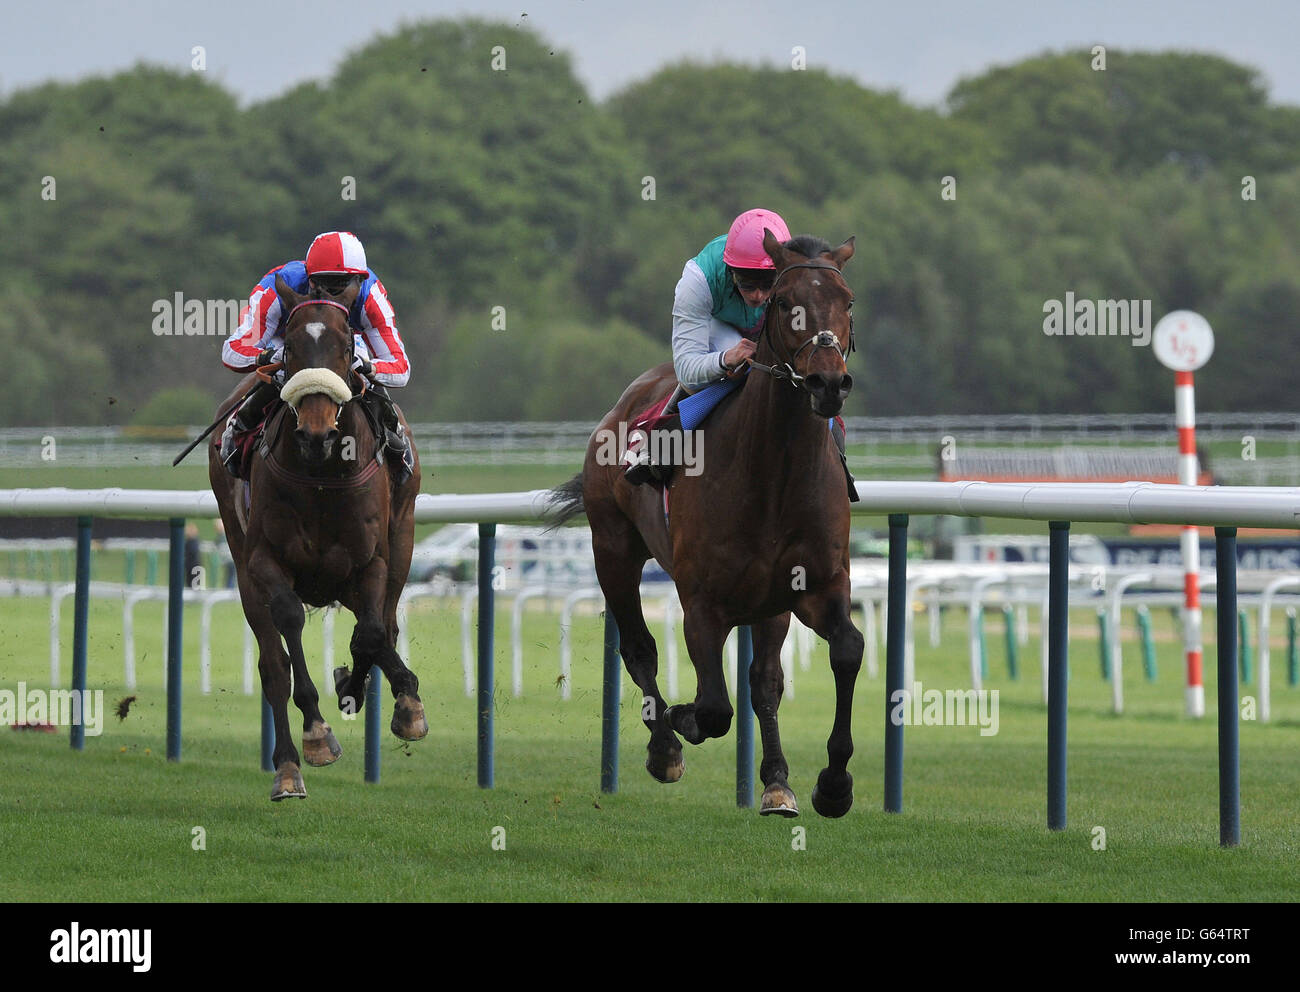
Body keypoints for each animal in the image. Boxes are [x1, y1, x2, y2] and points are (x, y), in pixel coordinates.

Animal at [209, 275, 426, 800]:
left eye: (347, 345)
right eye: (288, 346)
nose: (316, 432)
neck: (323, 474)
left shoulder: (372, 561)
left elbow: (372, 632)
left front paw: (392, 697)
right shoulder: (264, 560)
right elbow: (289, 629)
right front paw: (316, 731)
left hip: (401, 541)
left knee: (381, 624)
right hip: (243, 565)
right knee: (273, 666)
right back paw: (288, 768)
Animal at [548, 235, 863, 821]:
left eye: (847, 302)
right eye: (785, 302)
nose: (828, 382)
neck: (775, 473)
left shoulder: (814, 587)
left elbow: (845, 650)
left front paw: (832, 784)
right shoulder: (702, 602)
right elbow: (714, 707)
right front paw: (681, 718)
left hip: (767, 604)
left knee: (765, 681)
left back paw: (776, 782)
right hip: (613, 549)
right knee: (639, 649)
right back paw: (664, 749)